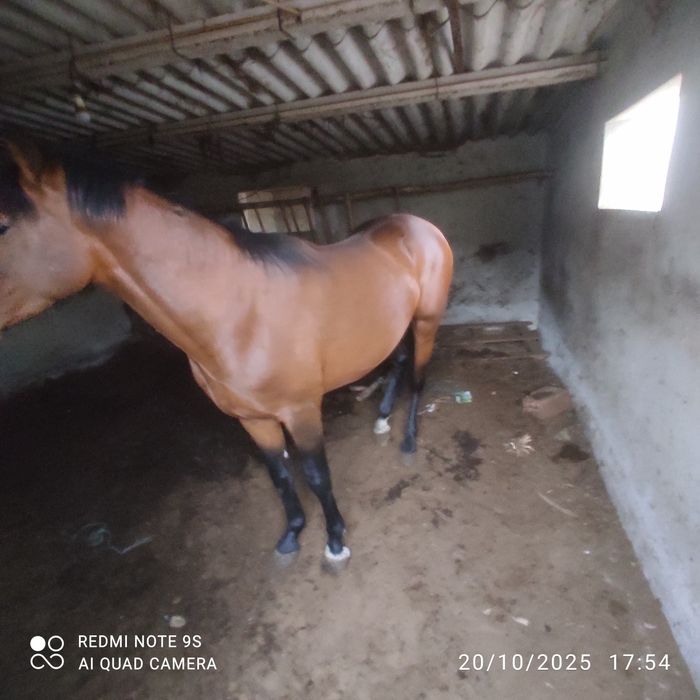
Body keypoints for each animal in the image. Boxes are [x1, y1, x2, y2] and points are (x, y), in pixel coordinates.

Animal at [0, 141, 453, 563]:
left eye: (3, 225)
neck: (239, 313)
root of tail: (419, 226)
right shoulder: (252, 418)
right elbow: (279, 474)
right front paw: (292, 534)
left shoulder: (302, 411)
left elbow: (316, 475)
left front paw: (336, 542)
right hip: (394, 325)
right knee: (398, 362)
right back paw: (381, 418)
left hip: (426, 321)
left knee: (418, 375)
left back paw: (408, 440)